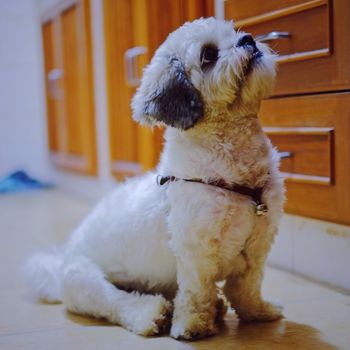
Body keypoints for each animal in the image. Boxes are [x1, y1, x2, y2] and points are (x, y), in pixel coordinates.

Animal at [24, 17, 284, 340]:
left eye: (235, 32)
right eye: (209, 55)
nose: (248, 39)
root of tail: (60, 261)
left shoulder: (259, 244)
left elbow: (247, 286)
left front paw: (258, 312)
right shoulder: (195, 251)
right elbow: (197, 291)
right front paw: (193, 326)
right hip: (85, 282)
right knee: (117, 303)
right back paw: (152, 314)